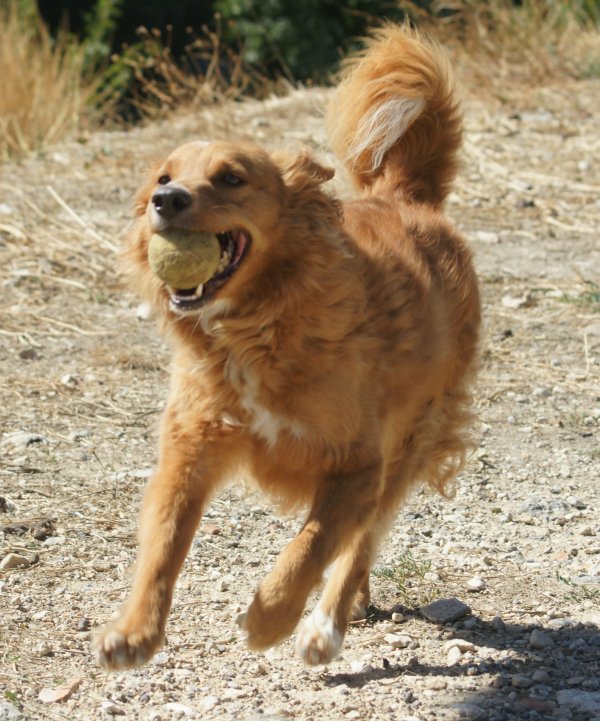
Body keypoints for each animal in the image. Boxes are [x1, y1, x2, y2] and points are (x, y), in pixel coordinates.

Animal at [96, 26, 480, 668]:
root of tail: (409, 200)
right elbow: (164, 546)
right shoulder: (188, 453)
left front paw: (268, 618)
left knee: (359, 545)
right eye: (163, 177)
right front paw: (134, 631)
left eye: (231, 177)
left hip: (409, 444)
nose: (166, 200)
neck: (259, 328)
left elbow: (312, 545)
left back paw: (325, 624)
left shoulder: (358, 466)